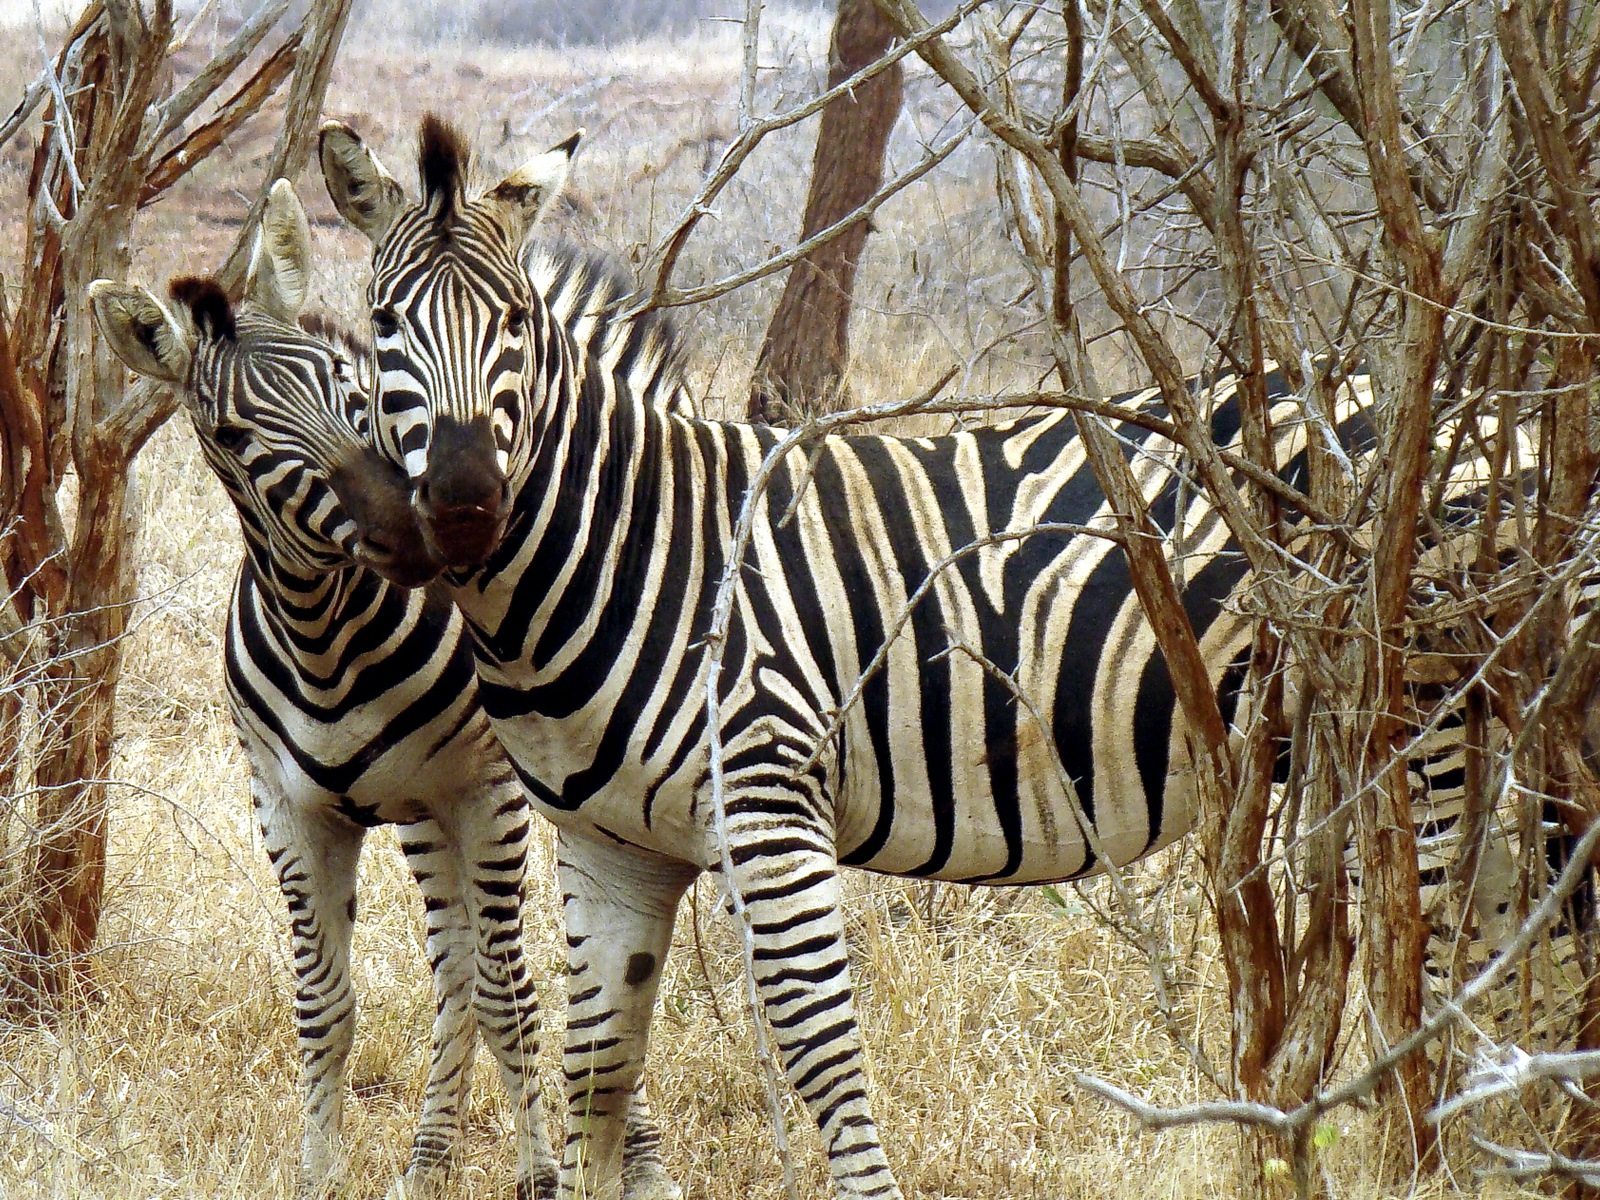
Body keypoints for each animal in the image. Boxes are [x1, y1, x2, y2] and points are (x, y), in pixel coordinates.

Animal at [89, 178, 688, 1200]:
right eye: (231, 437)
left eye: (346, 383)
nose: (414, 535)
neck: (325, 636)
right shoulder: (290, 809)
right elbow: (327, 1003)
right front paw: (320, 1174)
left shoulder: (486, 791)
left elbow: (514, 993)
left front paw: (545, 1171)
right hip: (417, 813)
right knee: (457, 970)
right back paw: (431, 1157)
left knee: (558, 974)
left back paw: (630, 1158)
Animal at [312, 120, 1561, 1200]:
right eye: (382, 326)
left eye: (517, 327)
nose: (465, 505)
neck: (632, 546)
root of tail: (1451, 399)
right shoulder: (612, 845)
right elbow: (597, 1075)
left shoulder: (769, 796)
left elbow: (819, 1046)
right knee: (1507, 920)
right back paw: (1508, 1142)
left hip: (1419, 707)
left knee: (1453, 931)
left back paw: (1465, 1150)